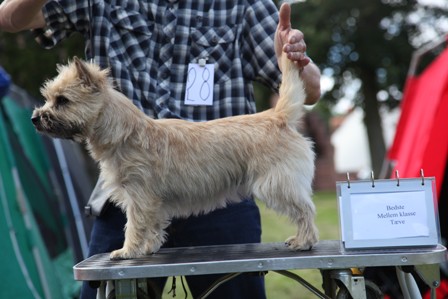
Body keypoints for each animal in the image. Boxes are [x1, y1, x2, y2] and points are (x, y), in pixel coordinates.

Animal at [31, 55, 316, 260]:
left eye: (62, 100)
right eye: (48, 98)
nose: (35, 118)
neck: (125, 134)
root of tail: (277, 116)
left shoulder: (139, 196)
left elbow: (134, 225)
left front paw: (127, 251)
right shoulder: (152, 201)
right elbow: (154, 225)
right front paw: (149, 247)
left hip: (276, 184)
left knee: (305, 210)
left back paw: (304, 241)